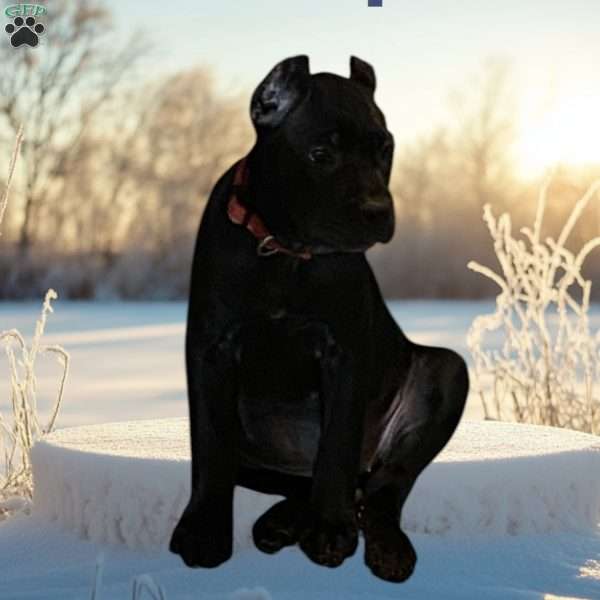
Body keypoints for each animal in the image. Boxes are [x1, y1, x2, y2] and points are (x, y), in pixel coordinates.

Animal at [169, 55, 468, 580]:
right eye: (321, 154)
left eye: (385, 148)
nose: (377, 210)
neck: (285, 249)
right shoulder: (211, 350)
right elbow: (209, 447)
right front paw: (203, 531)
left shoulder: (343, 352)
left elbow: (336, 447)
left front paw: (330, 529)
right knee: (304, 481)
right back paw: (280, 523)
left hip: (447, 370)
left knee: (383, 483)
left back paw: (384, 548)